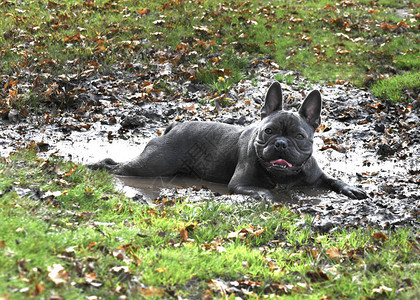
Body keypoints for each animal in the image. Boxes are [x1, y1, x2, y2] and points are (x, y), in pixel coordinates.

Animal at [90, 81, 366, 200]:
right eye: (268, 132)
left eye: (299, 137)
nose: (281, 143)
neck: (283, 176)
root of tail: (174, 126)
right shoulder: (240, 184)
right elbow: (264, 190)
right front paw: (272, 196)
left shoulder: (317, 176)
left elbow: (333, 179)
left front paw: (350, 188)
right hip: (150, 165)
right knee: (116, 165)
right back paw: (95, 167)